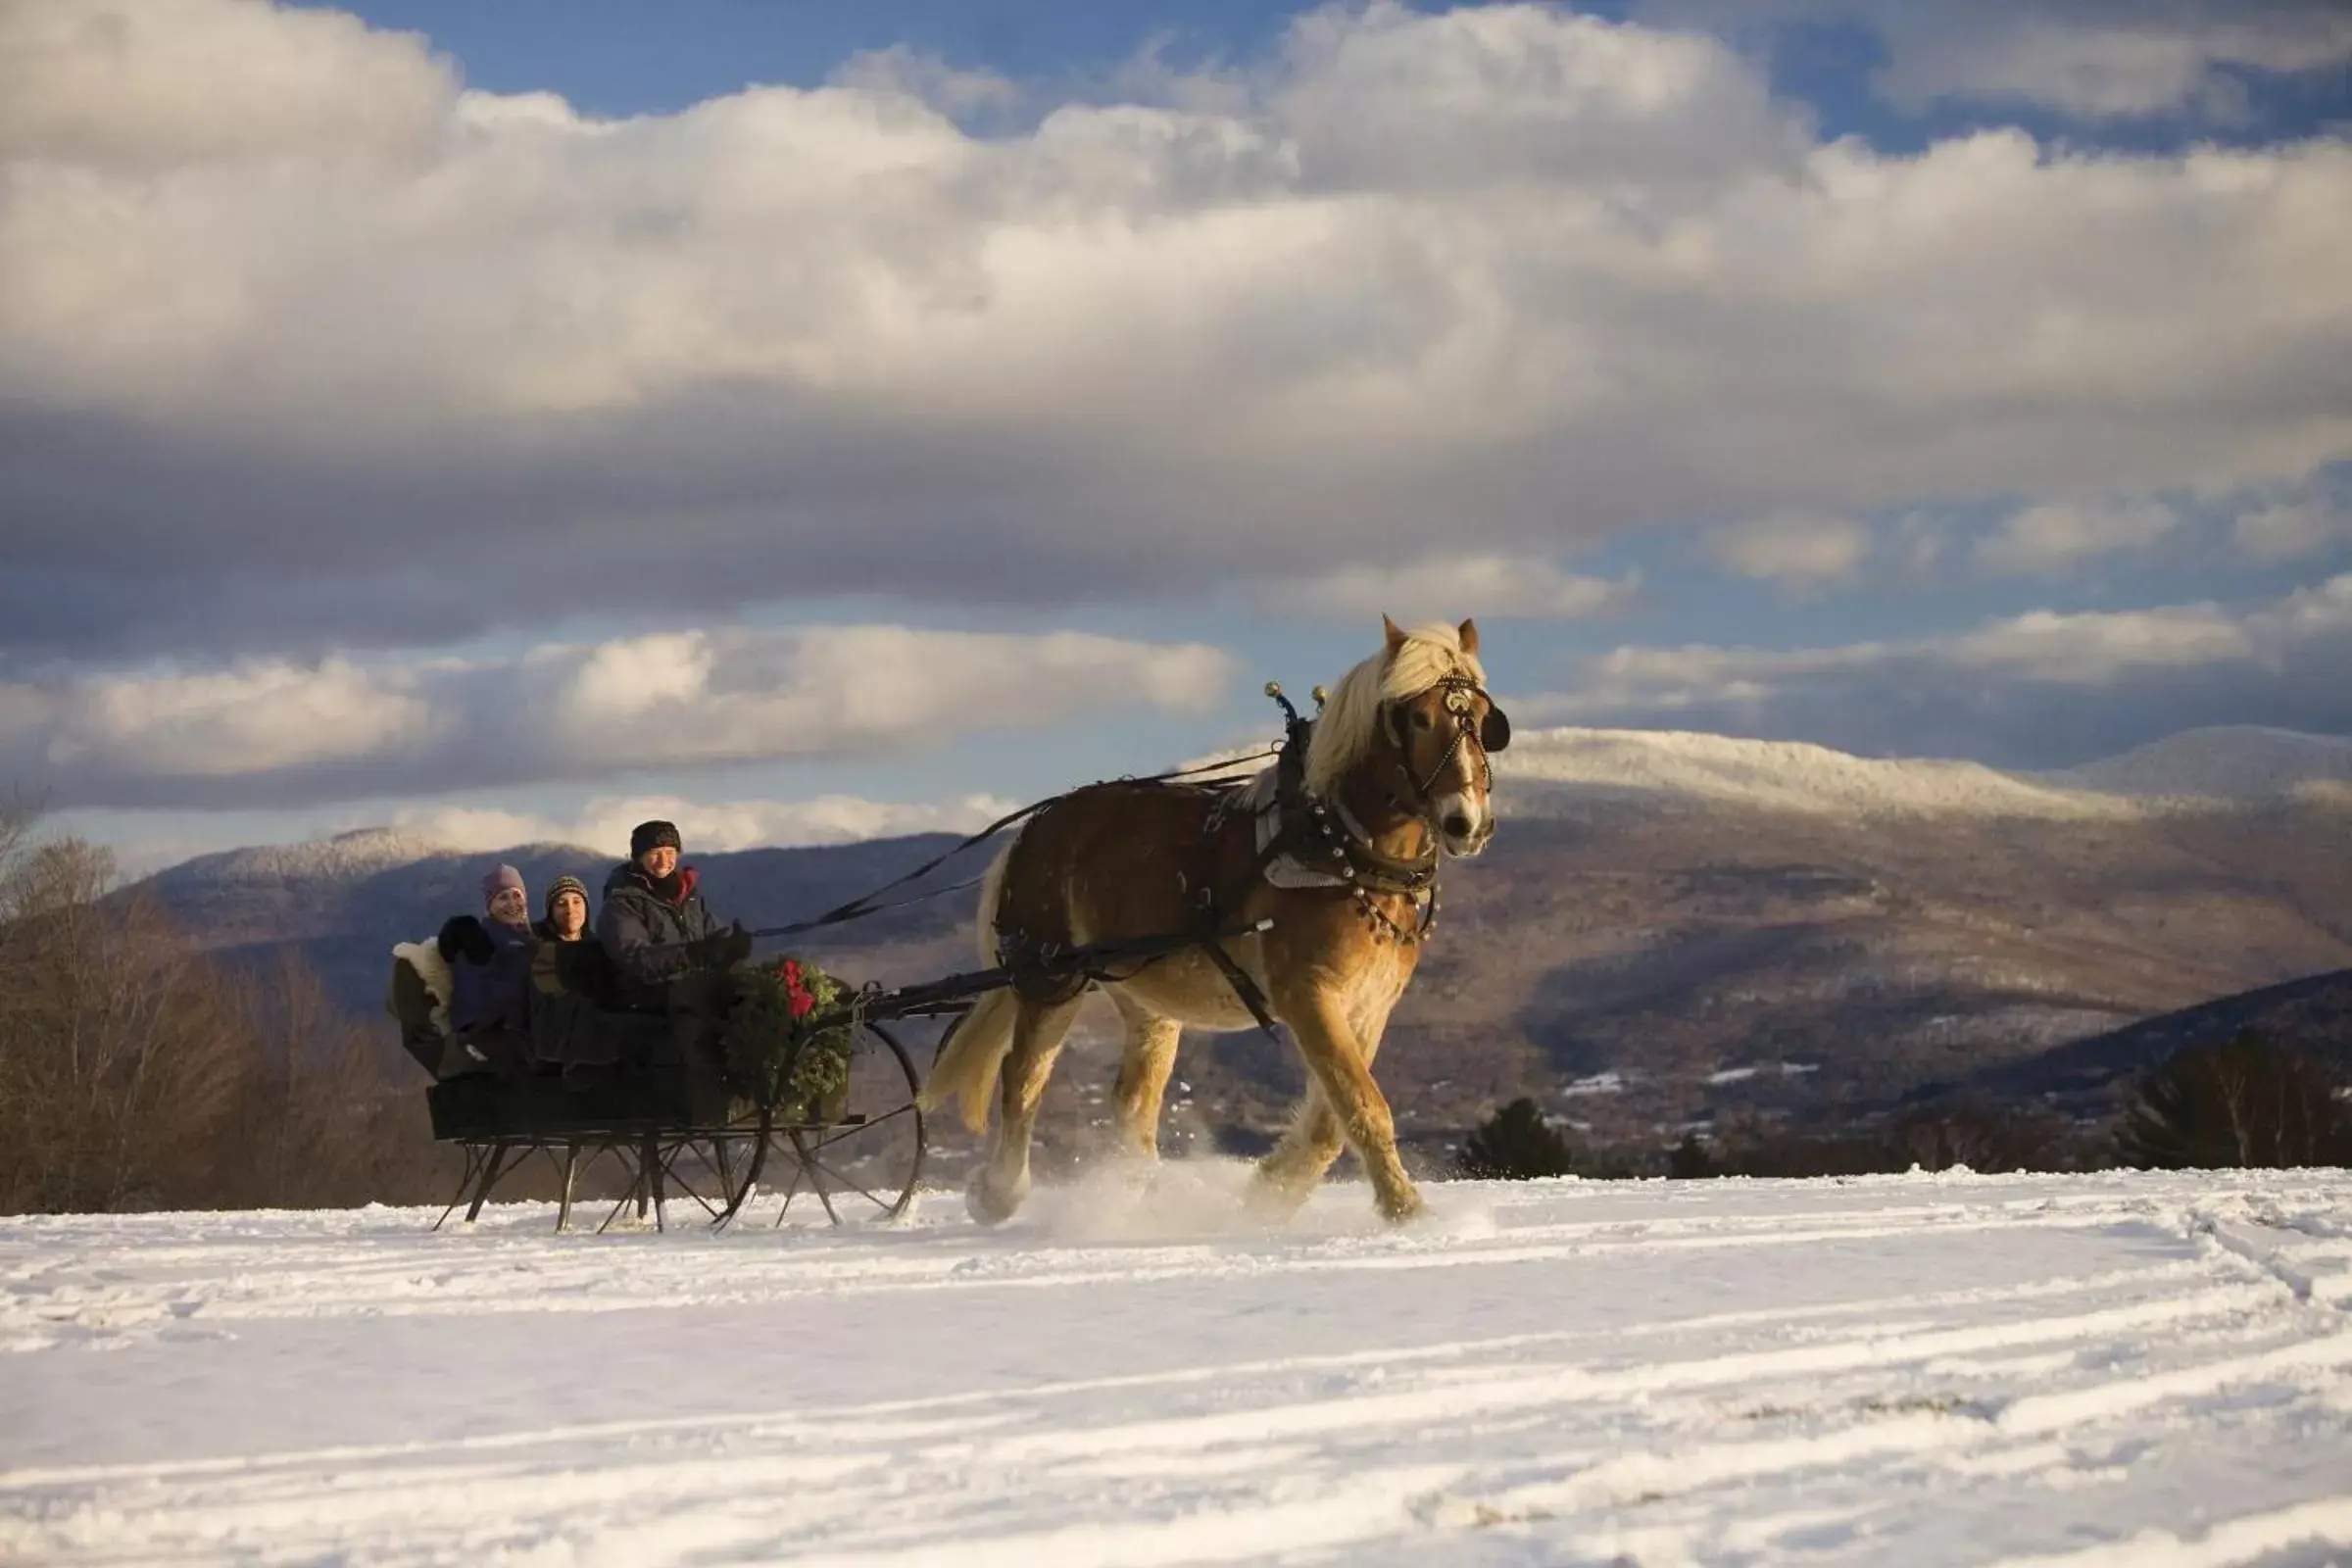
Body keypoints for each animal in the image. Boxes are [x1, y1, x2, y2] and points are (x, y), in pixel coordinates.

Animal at [917, 620, 1505, 1231]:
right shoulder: (1307, 994)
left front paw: (1269, 1193)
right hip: (1050, 977)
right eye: (1418, 718)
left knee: (1132, 1100)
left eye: (1486, 719)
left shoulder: (1369, 1006)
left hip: (1145, 996)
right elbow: (1361, 1103)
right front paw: (1407, 1210)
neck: (1337, 846)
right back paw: (1000, 1192)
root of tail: (1032, 831)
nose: (1468, 823)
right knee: (1022, 1077)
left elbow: (1331, 1118)